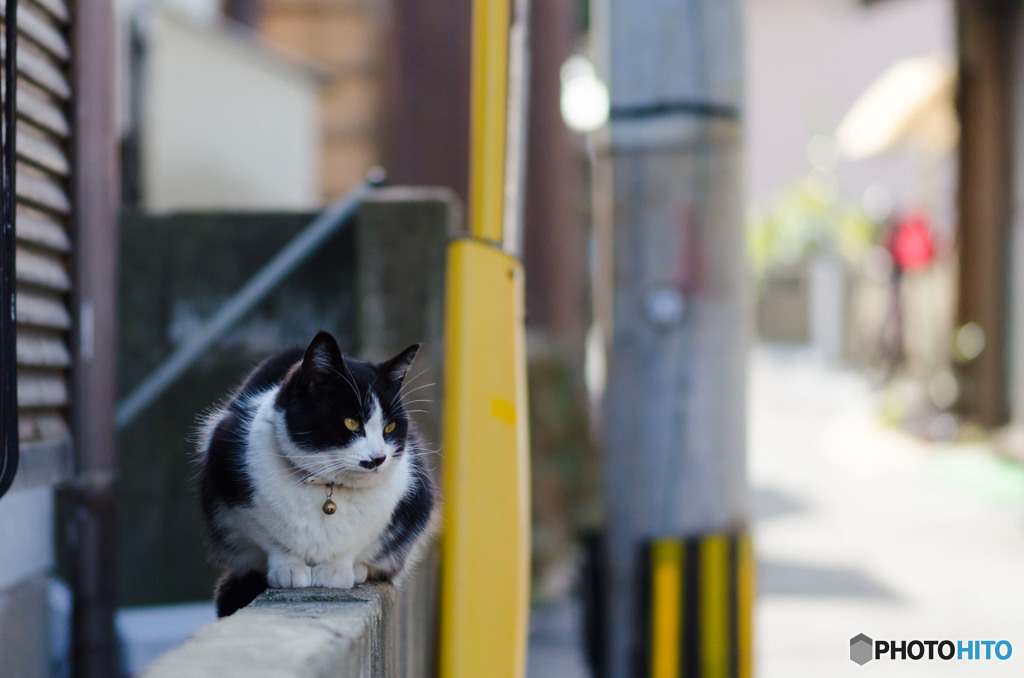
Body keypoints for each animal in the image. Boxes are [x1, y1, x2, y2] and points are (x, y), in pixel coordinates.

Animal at [195, 331, 436, 618]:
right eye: (351, 422)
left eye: (389, 427)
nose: (379, 458)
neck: (327, 485)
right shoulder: (232, 482)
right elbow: (270, 537)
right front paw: (288, 568)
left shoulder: (406, 498)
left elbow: (357, 541)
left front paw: (336, 570)